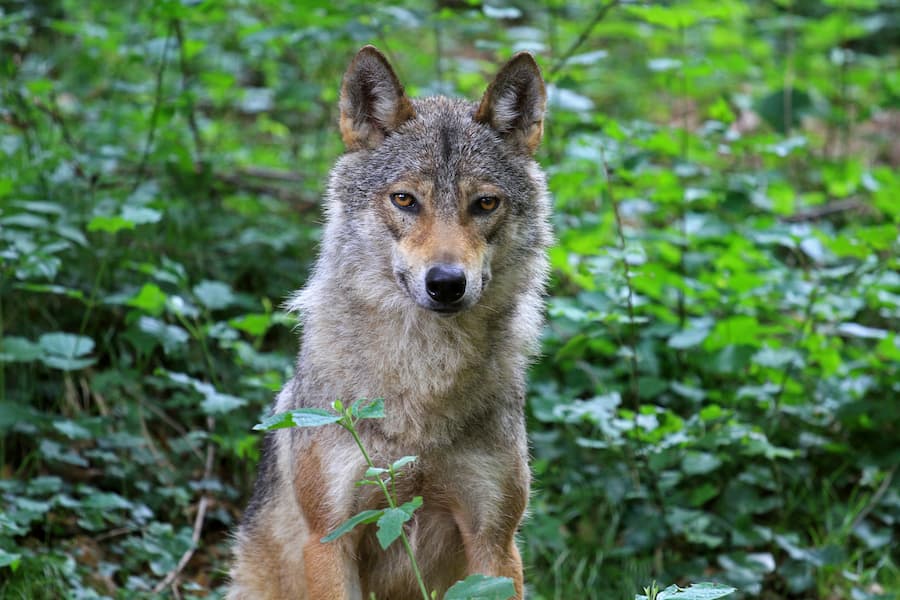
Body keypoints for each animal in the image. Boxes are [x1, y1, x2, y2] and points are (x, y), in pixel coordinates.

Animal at [227, 45, 551, 600]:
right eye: (405, 199)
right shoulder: (330, 537)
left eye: (485, 203)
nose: (447, 283)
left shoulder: (495, 539)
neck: (423, 385)